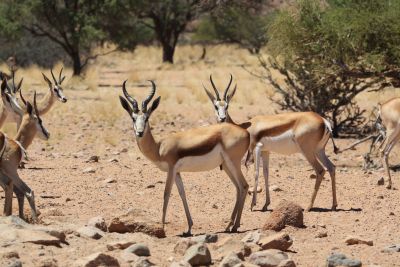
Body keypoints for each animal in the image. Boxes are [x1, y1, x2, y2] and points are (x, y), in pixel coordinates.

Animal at [119, 80, 250, 236]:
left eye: (147, 118)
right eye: (133, 118)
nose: (139, 132)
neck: (159, 147)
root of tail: (246, 132)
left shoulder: (171, 169)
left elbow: (166, 194)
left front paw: (161, 228)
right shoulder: (177, 172)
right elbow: (182, 194)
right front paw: (189, 228)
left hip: (233, 163)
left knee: (244, 186)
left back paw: (235, 226)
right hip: (226, 165)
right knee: (238, 188)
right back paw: (229, 226)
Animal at [203, 74, 338, 213]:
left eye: (227, 106)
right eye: (216, 106)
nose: (222, 118)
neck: (246, 127)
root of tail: (324, 121)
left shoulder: (256, 148)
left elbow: (256, 173)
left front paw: (252, 205)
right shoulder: (266, 151)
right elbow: (266, 173)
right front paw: (265, 204)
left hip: (307, 151)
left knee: (320, 170)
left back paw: (308, 206)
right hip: (319, 150)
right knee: (331, 167)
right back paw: (333, 205)